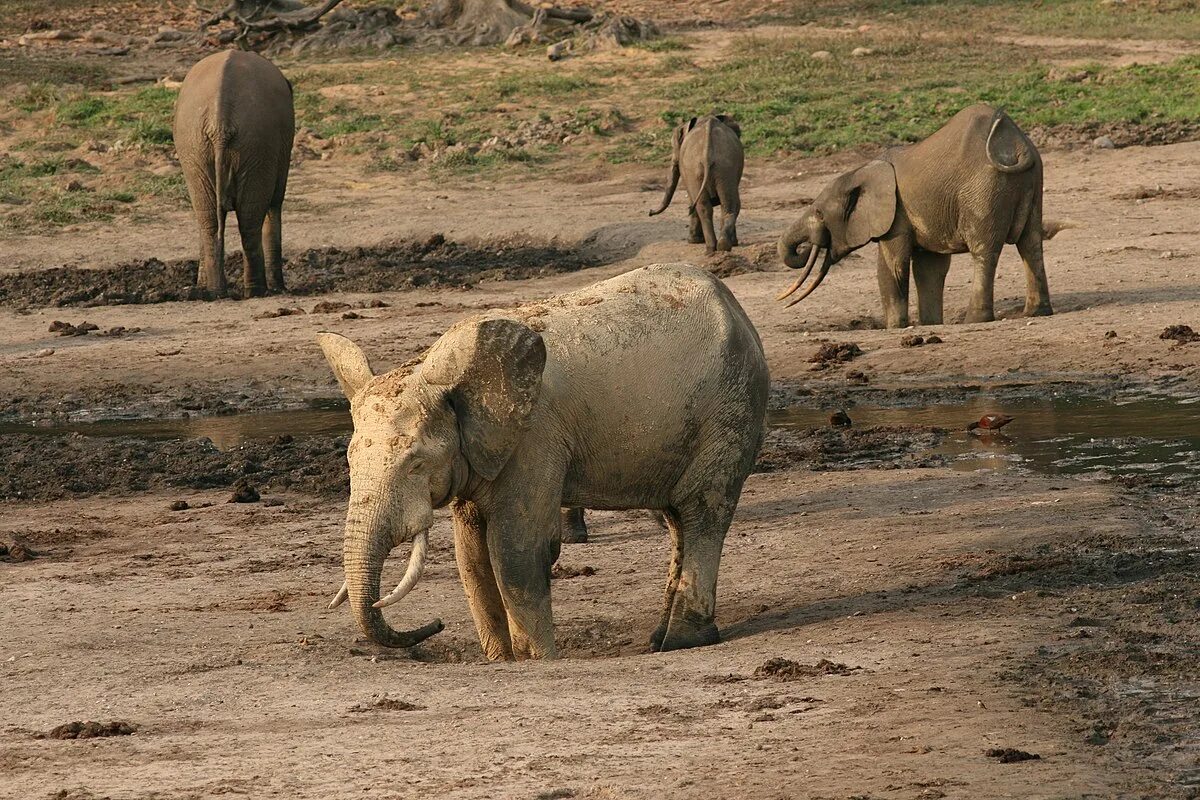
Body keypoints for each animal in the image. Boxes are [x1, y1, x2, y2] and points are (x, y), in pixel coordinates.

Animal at [174, 50, 295, 299]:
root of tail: (220, 122)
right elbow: (275, 204)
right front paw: (279, 288)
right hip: (257, 144)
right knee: (249, 221)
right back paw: (257, 291)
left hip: (196, 147)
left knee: (209, 220)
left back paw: (216, 292)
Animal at [319, 266, 768, 662]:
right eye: (349, 460)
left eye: (414, 464)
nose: (436, 624)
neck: (444, 377)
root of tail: (737, 310)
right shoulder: (481, 451)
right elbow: (472, 556)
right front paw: (500, 661)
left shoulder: (534, 439)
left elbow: (515, 552)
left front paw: (537, 660)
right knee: (676, 520)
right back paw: (661, 640)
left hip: (730, 407)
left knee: (703, 510)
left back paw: (683, 641)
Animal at [648, 113, 739, 253]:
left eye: (674, 146)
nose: (650, 212)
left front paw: (693, 241)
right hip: (724, 167)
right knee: (725, 205)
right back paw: (722, 246)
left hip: (701, 169)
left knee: (706, 206)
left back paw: (711, 247)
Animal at [777, 103, 1070, 328]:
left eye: (818, 212)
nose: (805, 247)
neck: (861, 170)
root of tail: (1016, 143)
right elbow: (929, 269)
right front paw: (930, 324)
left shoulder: (896, 217)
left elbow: (892, 267)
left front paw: (896, 328)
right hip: (1033, 179)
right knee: (1030, 244)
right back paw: (1037, 312)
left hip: (984, 189)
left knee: (984, 251)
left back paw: (975, 320)